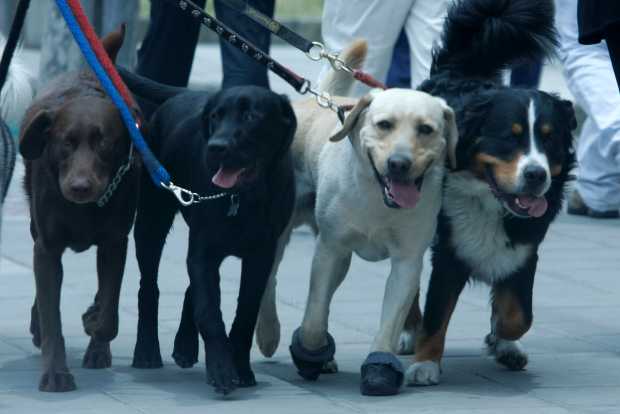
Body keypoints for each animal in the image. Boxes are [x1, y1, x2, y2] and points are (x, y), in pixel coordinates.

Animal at [127, 79, 296, 392]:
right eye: (216, 117)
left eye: (250, 116)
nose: (216, 147)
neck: (243, 198)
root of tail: (185, 91)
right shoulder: (204, 251)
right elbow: (209, 312)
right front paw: (221, 369)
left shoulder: (261, 257)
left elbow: (245, 314)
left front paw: (241, 369)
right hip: (151, 221)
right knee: (149, 287)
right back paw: (146, 350)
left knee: (190, 289)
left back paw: (184, 344)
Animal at [256, 41, 460, 394]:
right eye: (384, 124)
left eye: (426, 129)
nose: (399, 164)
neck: (378, 199)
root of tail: (321, 97)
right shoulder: (331, 249)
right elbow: (313, 319)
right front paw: (309, 352)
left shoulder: (407, 260)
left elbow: (390, 320)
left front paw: (380, 367)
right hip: (282, 230)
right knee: (269, 279)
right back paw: (269, 334)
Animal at [400, 0, 580, 384]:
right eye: (510, 137)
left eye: (549, 139)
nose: (536, 175)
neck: (493, 203)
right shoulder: (450, 249)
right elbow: (437, 312)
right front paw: (425, 363)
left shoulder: (524, 248)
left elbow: (518, 313)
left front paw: (502, 339)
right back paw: (408, 331)